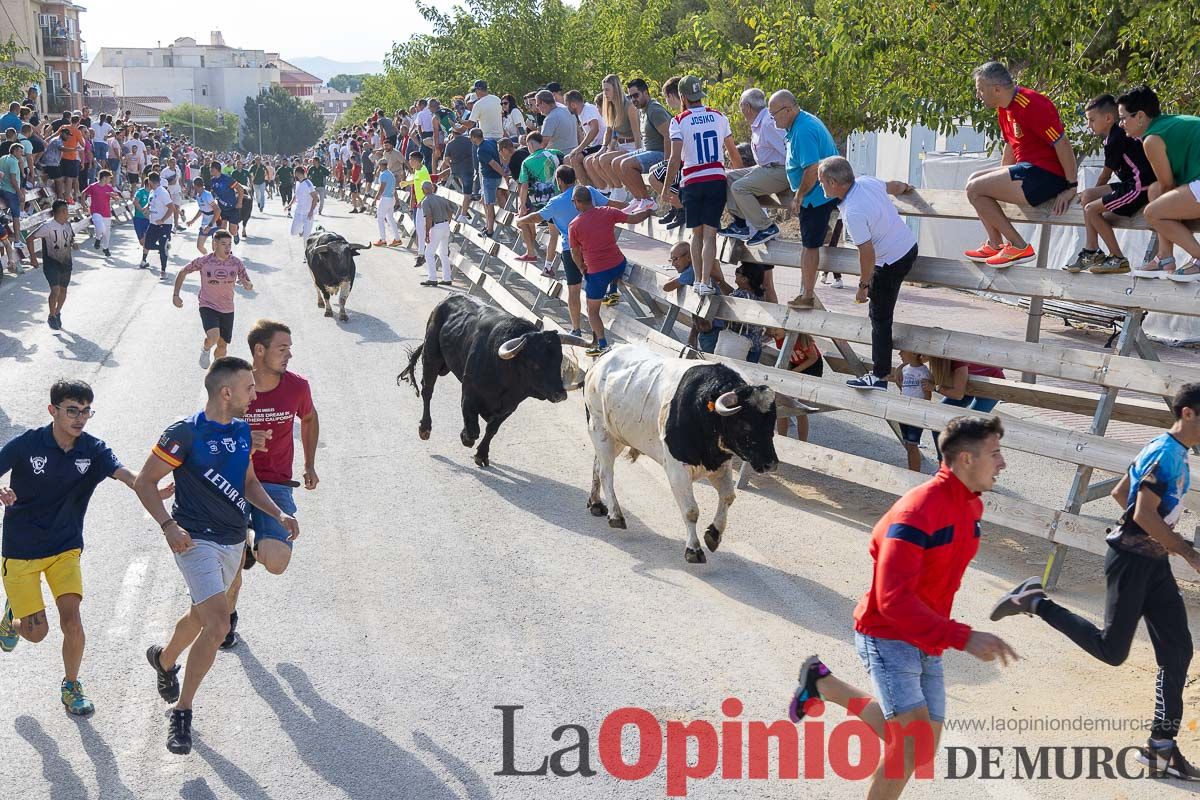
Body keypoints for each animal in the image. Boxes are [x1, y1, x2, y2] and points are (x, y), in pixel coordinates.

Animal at [398, 297, 590, 465]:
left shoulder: (510, 407)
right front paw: (465, 438)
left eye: (559, 360)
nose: (560, 394)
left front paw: (481, 455)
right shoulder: (469, 394)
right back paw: (425, 429)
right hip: (432, 357)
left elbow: (491, 429)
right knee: (427, 391)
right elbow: (473, 429)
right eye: (534, 364)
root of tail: (447, 300)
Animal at [580, 345, 777, 563]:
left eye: (772, 422)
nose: (771, 463)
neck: (703, 410)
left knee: (597, 465)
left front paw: (714, 534)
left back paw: (596, 503)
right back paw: (616, 515)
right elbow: (691, 510)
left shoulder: (720, 465)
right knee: (606, 473)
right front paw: (694, 549)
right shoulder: (677, 469)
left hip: (614, 436)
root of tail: (607, 351)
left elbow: (728, 496)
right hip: (599, 428)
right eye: (745, 423)